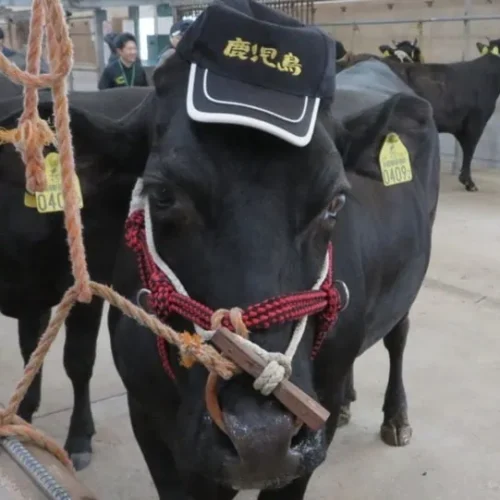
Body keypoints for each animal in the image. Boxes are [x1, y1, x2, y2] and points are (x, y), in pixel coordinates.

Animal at [0, 86, 152, 468]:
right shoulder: (28, 290)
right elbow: (31, 348)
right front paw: (23, 411)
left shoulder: (89, 281)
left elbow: (78, 360)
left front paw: (80, 435)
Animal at [50, 2, 440, 496]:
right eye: (162, 194)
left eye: (335, 202)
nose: (260, 437)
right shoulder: (148, 421)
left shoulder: (314, 433)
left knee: (398, 335)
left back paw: (397, 417)